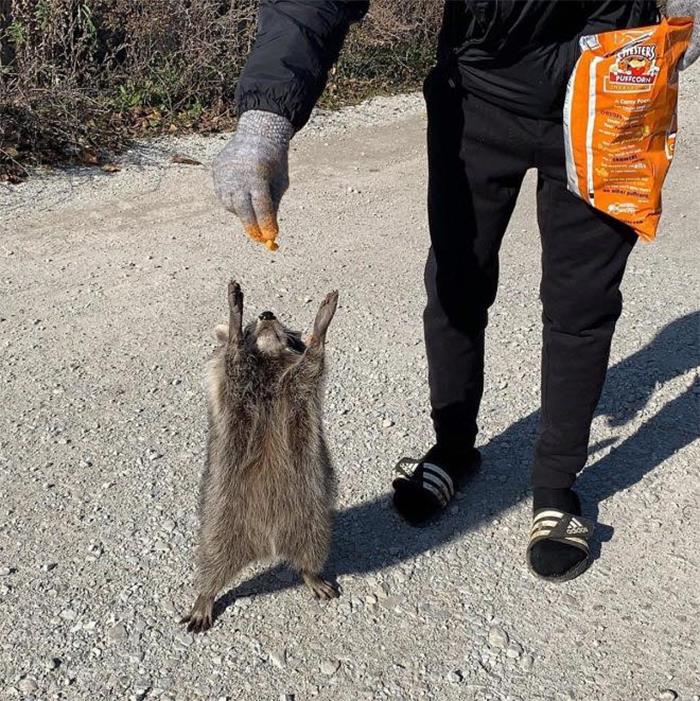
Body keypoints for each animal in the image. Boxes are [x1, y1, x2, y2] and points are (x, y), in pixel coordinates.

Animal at [182, 280, 340, 636]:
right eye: (254, 325)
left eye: (282, 325)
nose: (267, 314)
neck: (268, 359)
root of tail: (268, 543)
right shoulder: (236, 383)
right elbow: (234, 359)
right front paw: (235, 322)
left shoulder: (298, 387)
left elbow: (312, 365)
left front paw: (320, 329)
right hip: (221, 520)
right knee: (211, 559)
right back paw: (205, 593)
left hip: (312, 519)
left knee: (313, 549)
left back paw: (310, 572)